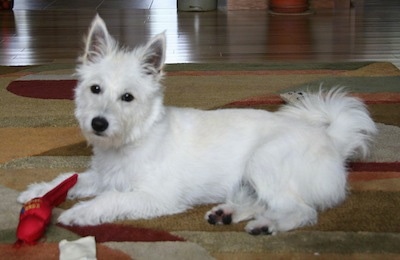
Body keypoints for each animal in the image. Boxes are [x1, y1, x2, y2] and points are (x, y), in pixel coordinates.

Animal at [17, 16, 376, 236]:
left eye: (128, 97)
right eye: (95, 89)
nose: (99, 123)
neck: (135, 138)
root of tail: (332, 141)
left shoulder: (154, 195)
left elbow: (110, 200)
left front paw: (79, 213)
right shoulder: (106, 176)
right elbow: (71, 178)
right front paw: (39, 191)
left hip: (264, 161)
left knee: (301, 211)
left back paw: (266, 226)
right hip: (251, 178)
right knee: (265, 201)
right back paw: (227, 214)